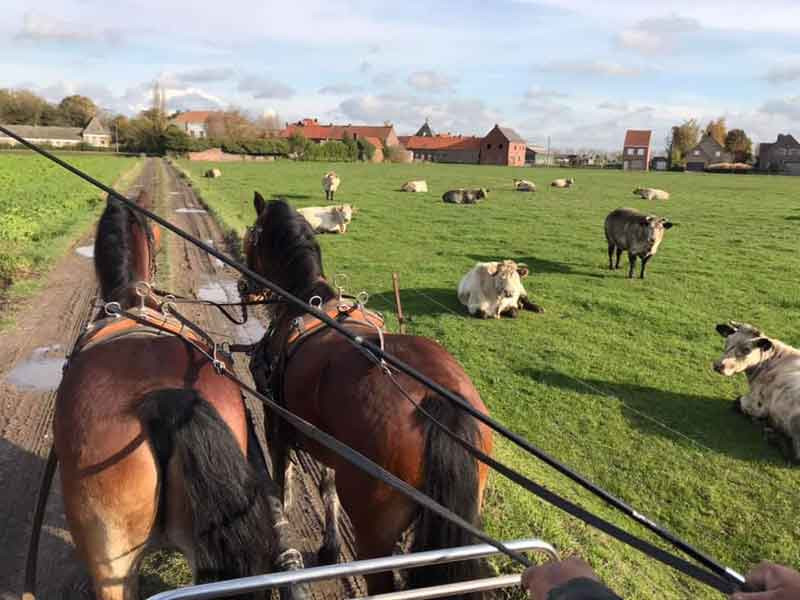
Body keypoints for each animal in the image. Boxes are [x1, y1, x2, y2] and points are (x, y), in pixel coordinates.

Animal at [244, 193, 494, 596]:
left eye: (252, 235)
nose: (243, 287)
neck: (305, 298)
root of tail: (437, 402)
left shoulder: (276, 423)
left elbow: (282, 483)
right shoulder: (325, 439)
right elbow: (327, 484)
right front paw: (330, 545)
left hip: (374, 530)